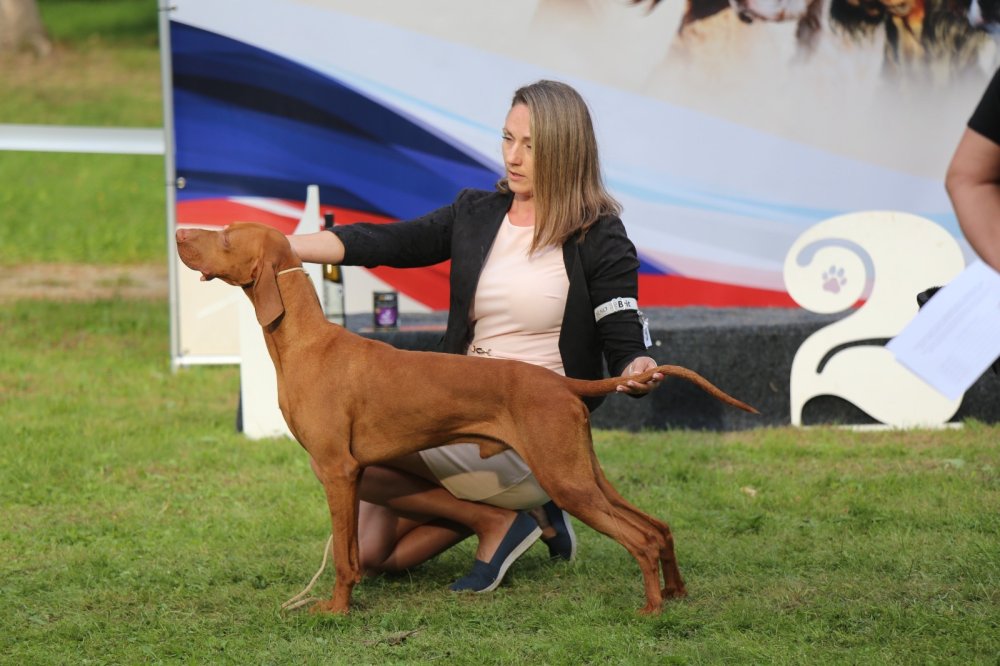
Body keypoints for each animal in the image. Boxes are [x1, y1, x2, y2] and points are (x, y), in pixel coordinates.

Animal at [175, 221, 758, 615]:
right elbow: (355, 555)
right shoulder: (353, 472)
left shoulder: (336, 470)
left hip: (563, 478)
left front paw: (336, 611)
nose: (180, 231)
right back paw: (677, 593)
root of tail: (562, 383)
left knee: (639, 538)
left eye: (225, 237)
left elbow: (342, 558)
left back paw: (652, 609)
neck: (306, 343)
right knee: (658, 527)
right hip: (581, 471)